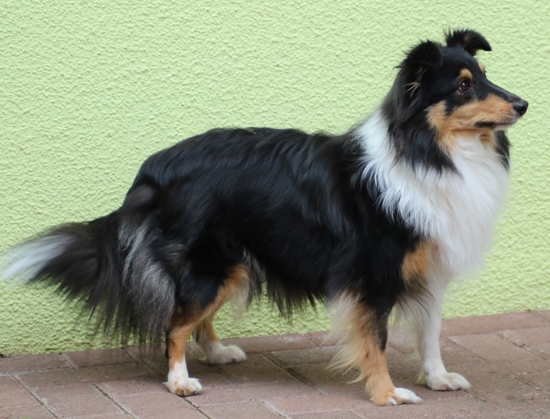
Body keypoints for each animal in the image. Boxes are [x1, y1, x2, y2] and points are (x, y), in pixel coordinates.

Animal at [1, 28, 532, 404]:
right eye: (462, 86)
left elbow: (431, 332)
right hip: (212, 262)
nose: (524, 104)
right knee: (175, 322)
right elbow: (377, 340)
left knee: (193, 318)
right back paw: (180, 381)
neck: (430, 152)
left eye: (484, 75)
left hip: (232, 262)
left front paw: (437, 378)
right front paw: (387, 395)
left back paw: (217, 353)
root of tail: (155, 168)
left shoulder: (430, 268)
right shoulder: (375, 273)